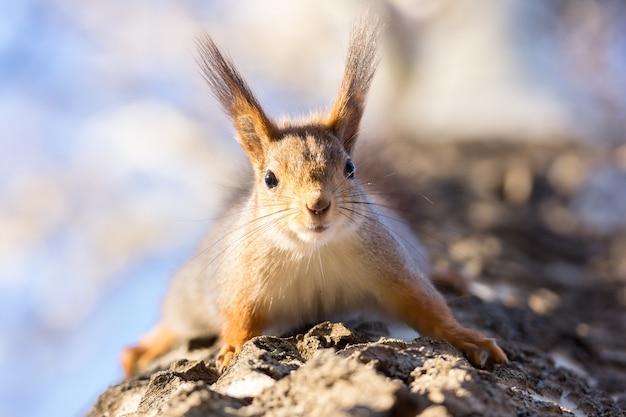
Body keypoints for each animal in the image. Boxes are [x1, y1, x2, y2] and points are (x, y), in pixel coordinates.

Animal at [120, 14, 508, 376]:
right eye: (270, 179)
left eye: (350, 168)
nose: (318, 204)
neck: (313, 252)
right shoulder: (241, 281)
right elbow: (237, 318)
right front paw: (230, 348)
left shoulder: (393, 267)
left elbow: (428, 307)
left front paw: (467, 337)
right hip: (193, 288)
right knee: (176, 317)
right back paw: (145, 346)